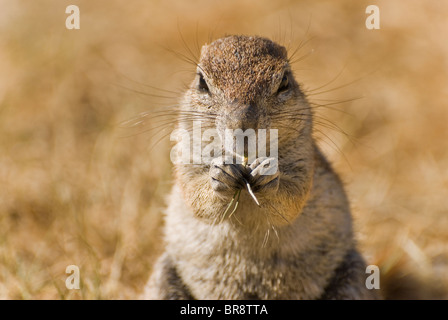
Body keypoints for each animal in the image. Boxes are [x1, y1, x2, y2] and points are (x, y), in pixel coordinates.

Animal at [143, 35, 378, 300]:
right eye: (202, 82)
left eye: (284, 81)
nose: (242, 126)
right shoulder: (187, 159)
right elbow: (195, 197)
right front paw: (220, 174)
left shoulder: (305, 158)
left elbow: (293, 199)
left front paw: (268, 175)